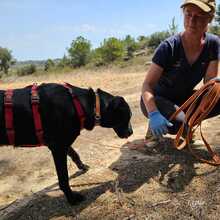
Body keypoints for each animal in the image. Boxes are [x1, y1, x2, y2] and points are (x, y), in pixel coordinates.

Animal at [0, 82, 132, 205]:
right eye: (128, 116)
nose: (131, 132)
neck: (79, 104)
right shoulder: (58, 148)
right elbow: (63, 178)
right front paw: (72, 198)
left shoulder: (63, 142)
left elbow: (74, 154)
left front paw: (82, 166)